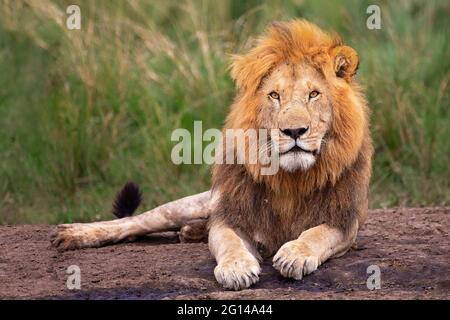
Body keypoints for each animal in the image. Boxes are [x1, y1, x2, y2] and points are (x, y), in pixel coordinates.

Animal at [51, 18, 372, 292]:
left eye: (313, 94)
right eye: (274, 95)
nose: (294, 131)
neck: (291, 178)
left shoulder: (344, 221)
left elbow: (316, 234)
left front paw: (293, 254)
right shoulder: (230, 214)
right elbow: (229, 241)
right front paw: (236, 268)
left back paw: (191, 232)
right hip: (191, 204)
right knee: (136, 222)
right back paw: (74, 233)